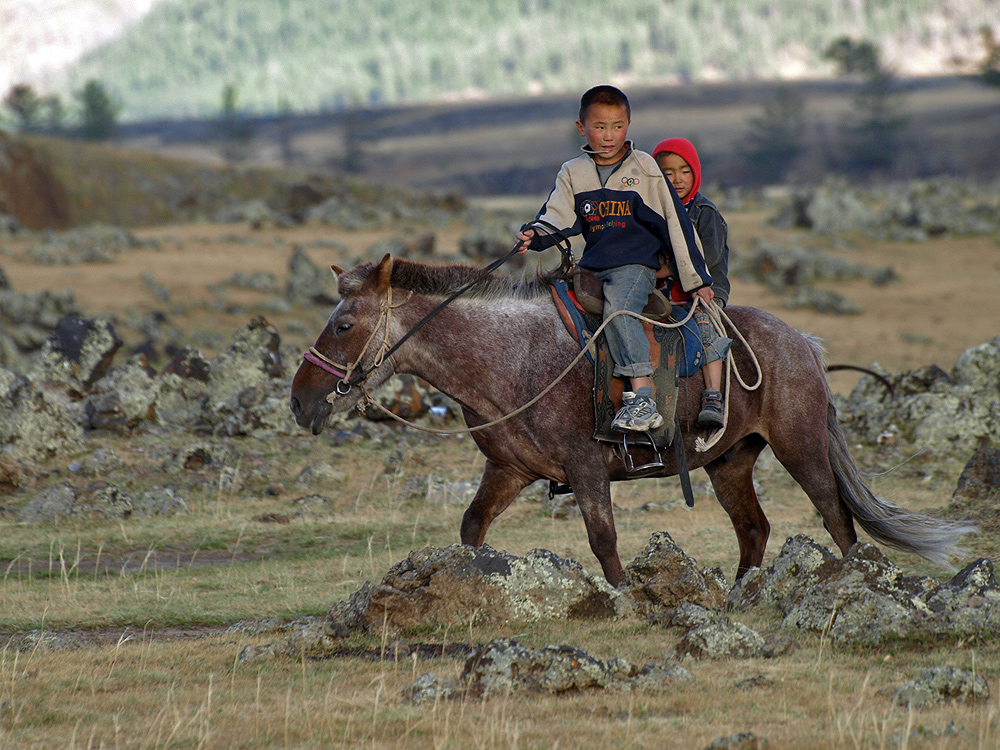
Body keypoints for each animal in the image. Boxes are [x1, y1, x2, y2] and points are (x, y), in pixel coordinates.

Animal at [286, 254, 972, 588]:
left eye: (343, 324)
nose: (300, 401)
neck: (512, 356)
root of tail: (803, 343)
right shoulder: (509, 470)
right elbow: (472, 529)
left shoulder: (587, 467)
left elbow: (603, 542)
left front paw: (622, 600)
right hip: (729, 462)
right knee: (754, 529)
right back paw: (739, 596)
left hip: (799, 447)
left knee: (836, 518)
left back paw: (851, 580)